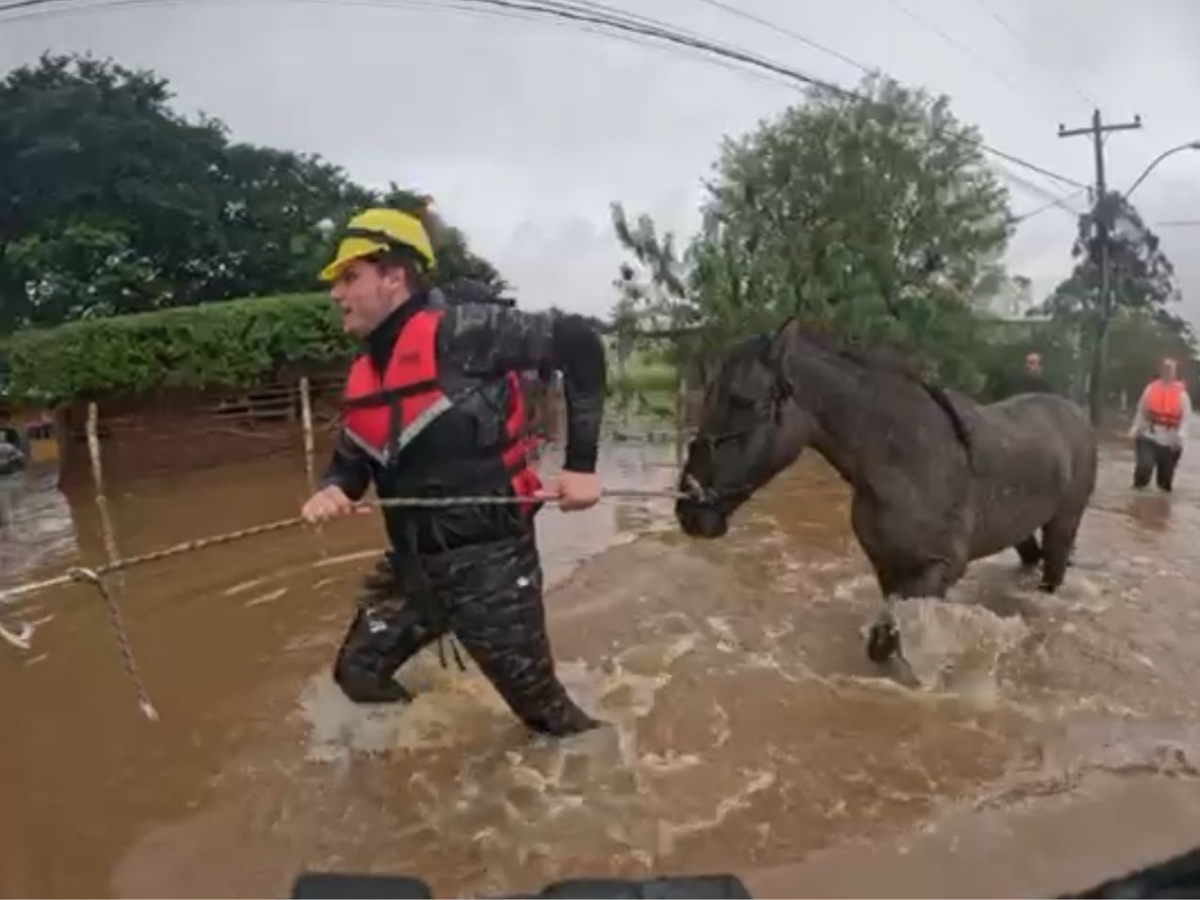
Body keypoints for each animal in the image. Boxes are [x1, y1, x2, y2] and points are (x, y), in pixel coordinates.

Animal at [676, 316, 1099, 662]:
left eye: (746, 401)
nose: (689, 511)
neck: (909, 463)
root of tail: (1076, 413)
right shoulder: (887, 566)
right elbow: (882, 643)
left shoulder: (937, 571)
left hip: (1064, 524)